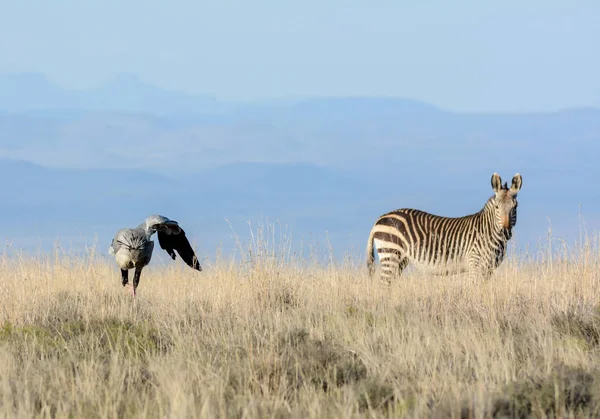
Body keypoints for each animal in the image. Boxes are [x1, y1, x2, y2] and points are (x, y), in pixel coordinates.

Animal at [364, 172, 524, 284]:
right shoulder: (475, 265)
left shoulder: (489, 269)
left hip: (399, 261)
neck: (489, 232)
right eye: (497, 207)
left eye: (515, 207)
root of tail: (379, 219)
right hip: (390, 255)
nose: (506, 232)